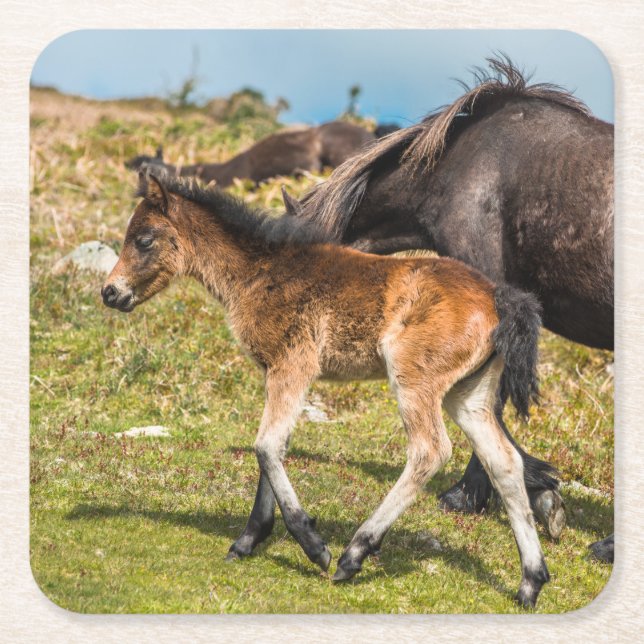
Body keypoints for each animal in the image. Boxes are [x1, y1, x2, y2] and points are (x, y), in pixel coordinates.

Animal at [101, 168, 549, 607]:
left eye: (143, 240)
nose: (110, 292)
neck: (260, 271)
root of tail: (498, 297)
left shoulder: (293, 364)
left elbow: (266, 446)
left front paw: (311, 543)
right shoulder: (280, 372)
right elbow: (276, 447)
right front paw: (248, 540)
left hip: (414, 378)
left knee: (430, 450)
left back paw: (355, 554)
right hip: (468, 394)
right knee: (504, 462)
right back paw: (531, 581)